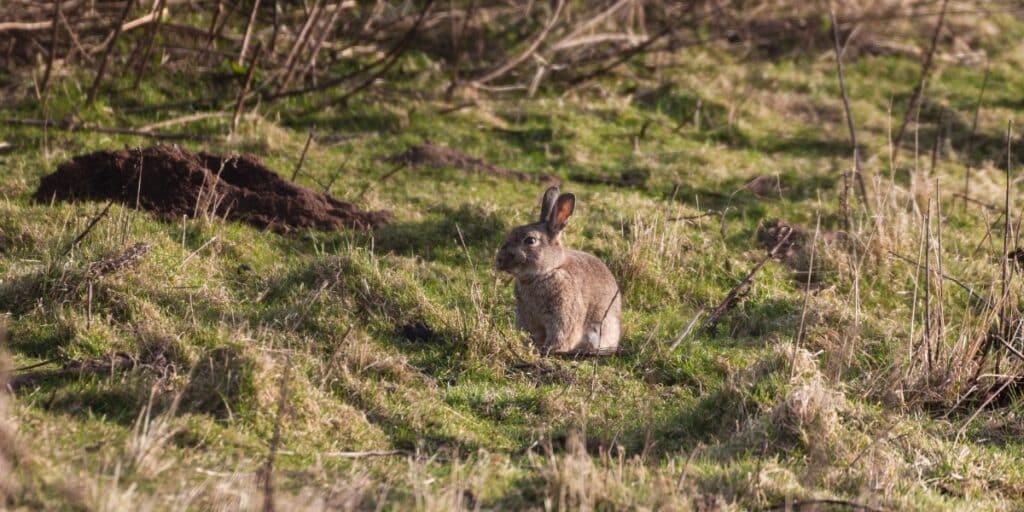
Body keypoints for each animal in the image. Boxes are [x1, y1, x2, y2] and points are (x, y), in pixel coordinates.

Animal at [495, 186, 621, 355]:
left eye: (530, 240)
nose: (499, 260)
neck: (548, 271)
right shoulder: (528, 319)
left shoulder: (562, 319)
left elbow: (560, 337)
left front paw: (548, 350)